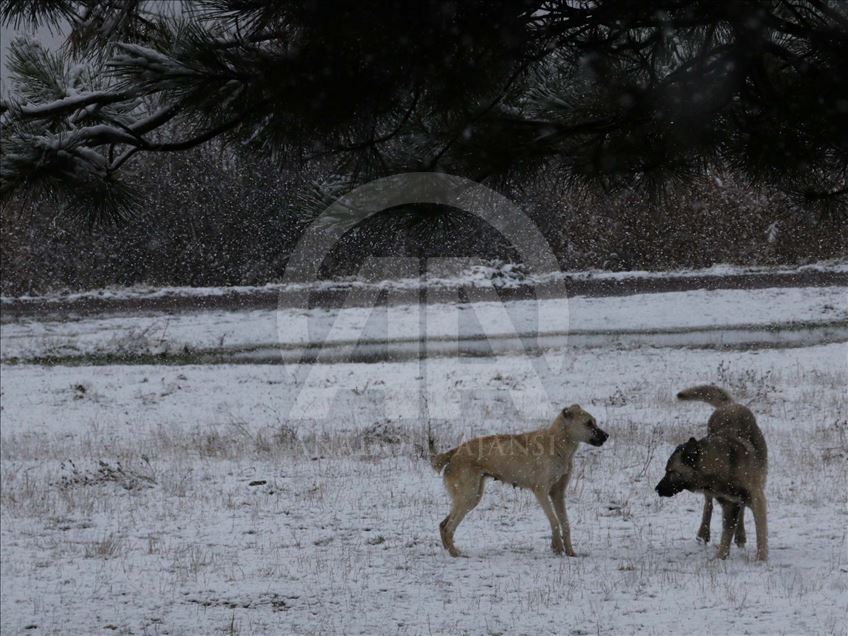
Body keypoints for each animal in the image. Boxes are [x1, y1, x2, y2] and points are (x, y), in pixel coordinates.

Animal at [428, 408, 608, 556]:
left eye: (594, 421)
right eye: (588, 423)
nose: (607, 436)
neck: (558, 443)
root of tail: (455, 451)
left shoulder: (558, 493)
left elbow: (565, 523)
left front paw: (569, 551)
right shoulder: (541, 491)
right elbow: (555, 521)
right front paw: (557, 547)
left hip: (471, 497)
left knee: (442, 524)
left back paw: (449, 550)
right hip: (468, 496)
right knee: (448, 527)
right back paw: (455, 553)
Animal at [656, 386, 768, 560]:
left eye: (671, 471)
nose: (657, 489)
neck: (724, 468)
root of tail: (729, 405)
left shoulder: (756, 499)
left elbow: (760, 534)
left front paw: (761, 559)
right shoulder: (728, 505)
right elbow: (725, 535)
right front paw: (720, 558)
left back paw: (740, 535)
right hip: (714, 498)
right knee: (708, 505)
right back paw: (704, 532)